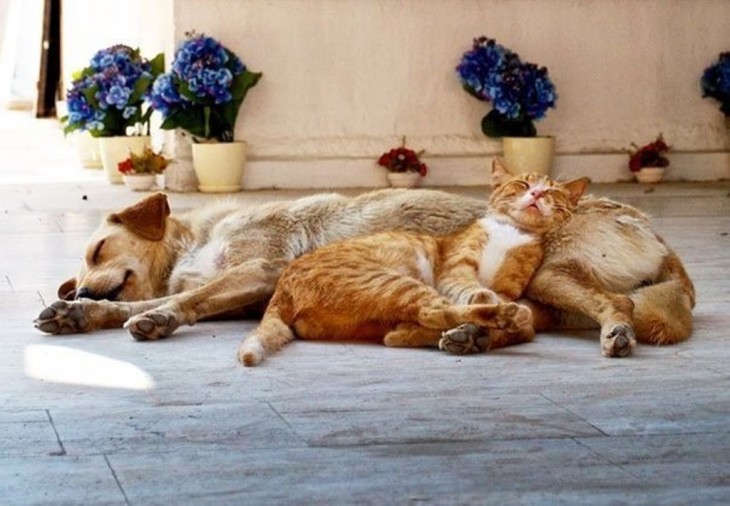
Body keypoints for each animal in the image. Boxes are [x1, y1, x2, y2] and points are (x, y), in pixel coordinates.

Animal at [35, 184, 692, 358]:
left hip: (552, 274)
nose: (82, 285)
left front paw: (158, 315)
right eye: (85, 262)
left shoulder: (262, 269)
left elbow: (175, 302)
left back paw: (616, 332)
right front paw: (78, 313)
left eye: (97, 249)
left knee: (612, 306)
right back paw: (471, 335)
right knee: (516, 321)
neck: (189, 246)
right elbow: (139, 304)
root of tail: (657, 233)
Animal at [236, 160, 588, 366]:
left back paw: (470, 333)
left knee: (401, 332)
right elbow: (471, 289)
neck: (512, 231)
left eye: (552, 192)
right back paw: (496, 319)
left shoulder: (510, 284)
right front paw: (488, 306)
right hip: (397, 283)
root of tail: (282, 288)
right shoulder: (456, 268)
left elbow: (494, 295)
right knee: (433, 312)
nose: (538, 195)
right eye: (523, 185)